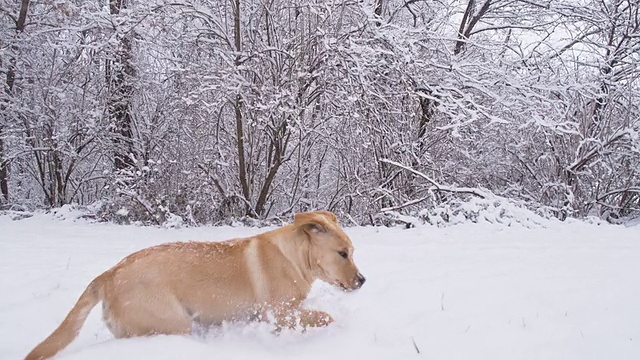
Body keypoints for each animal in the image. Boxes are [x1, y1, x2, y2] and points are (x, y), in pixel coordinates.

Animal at [26, 211, 364, 360]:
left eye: (352, 251)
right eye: (342, 253)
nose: (362, 281)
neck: (295, 257)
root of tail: (109, 274)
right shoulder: (278, 313)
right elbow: (323, 317)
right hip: (171, 323)